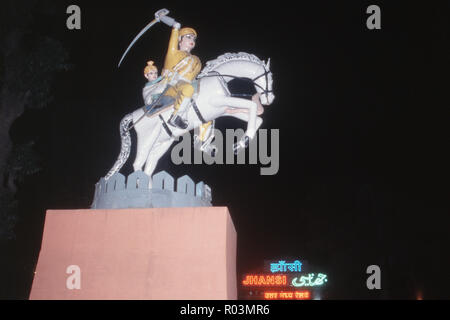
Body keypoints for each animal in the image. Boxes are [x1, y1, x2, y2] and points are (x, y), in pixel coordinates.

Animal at [105, 53, 274, 182]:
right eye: (271, 78)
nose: (270, 99)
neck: (218, 80)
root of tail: (133, 116)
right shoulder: (221, 102)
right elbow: (251, 107)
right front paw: (242, 142)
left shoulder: (223, 109)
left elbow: (256, 118)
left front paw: (240, 144)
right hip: (146, 141)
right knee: (138, 164)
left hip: (162, 143)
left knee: (150, 166)